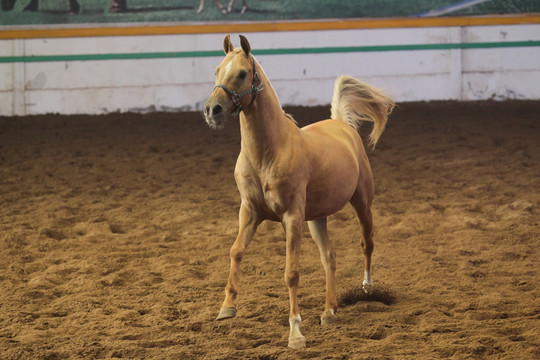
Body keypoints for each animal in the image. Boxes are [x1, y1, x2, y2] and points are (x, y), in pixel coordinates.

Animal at [202, 35, 392, 348]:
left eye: (242, 73)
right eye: (217, 70)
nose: (212, 110)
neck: (268, 152)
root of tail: (341, 124)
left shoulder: (291, 217)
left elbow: (291, 273)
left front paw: (295, 332)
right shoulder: (249, 211)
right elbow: (236, 251)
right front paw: (226, 308)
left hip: (362, 203)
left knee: (367, 244)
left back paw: (367, 288)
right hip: (316, 219)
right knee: (329, 258)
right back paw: (329, 312)